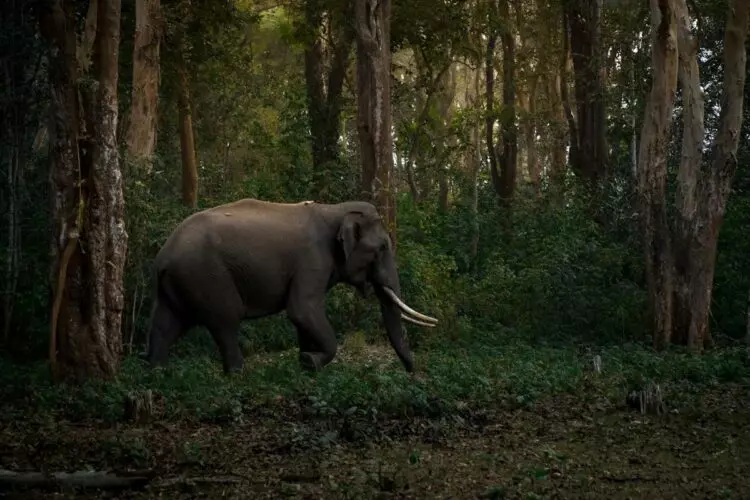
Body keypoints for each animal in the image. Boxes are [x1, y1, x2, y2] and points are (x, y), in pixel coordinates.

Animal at [144, 198, 438, 374]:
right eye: (382, 248)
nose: (412, 372)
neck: (334, 208)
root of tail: (162, 257)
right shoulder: (312, 260)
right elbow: (302, 310)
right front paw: (310, 361)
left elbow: (303, 319)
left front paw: (306, 364)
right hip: (207, 277)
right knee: (225, 321)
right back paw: (238, 374)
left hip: (176, 285)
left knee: (164, 325)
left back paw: (156, 373)